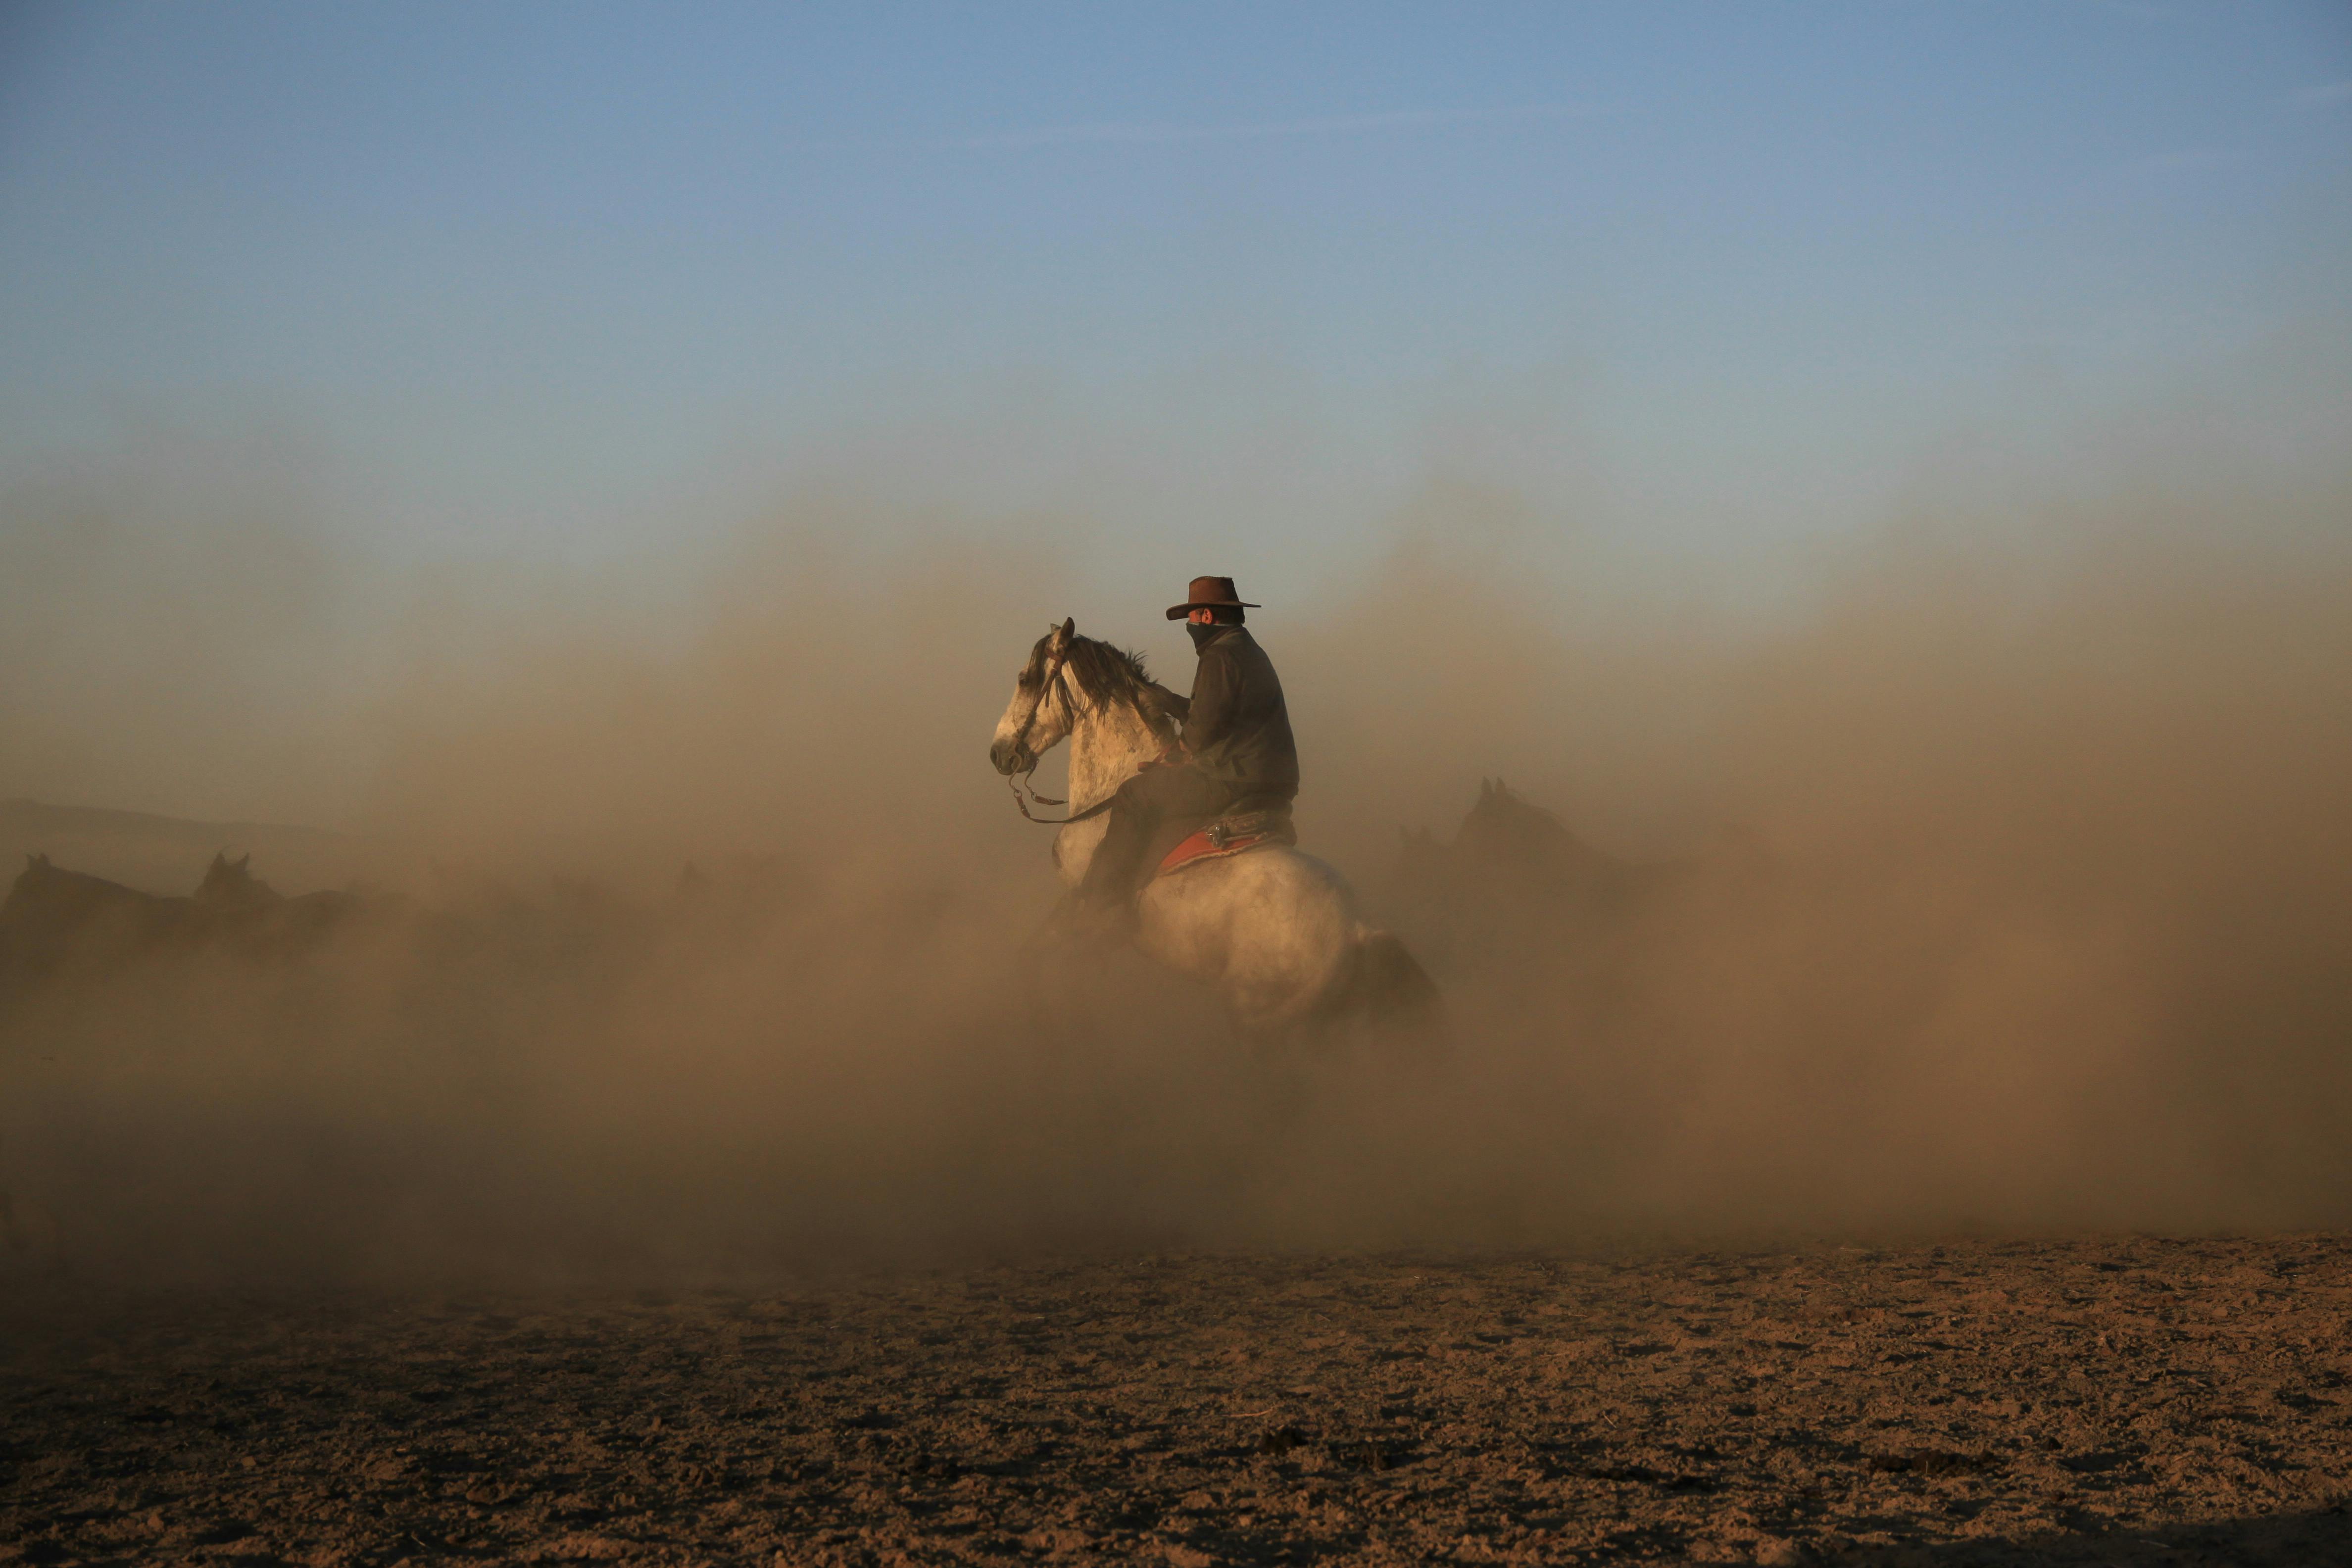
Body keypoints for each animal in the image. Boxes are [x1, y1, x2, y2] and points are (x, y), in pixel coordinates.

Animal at [978, 620, 1430, 1048]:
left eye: (1025, 678)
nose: (998, 754)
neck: (1107, 795)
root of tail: (1358, 931)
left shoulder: (1089, 917)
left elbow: (1040, 962)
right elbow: (1031, 957)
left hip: (1258, 1022)